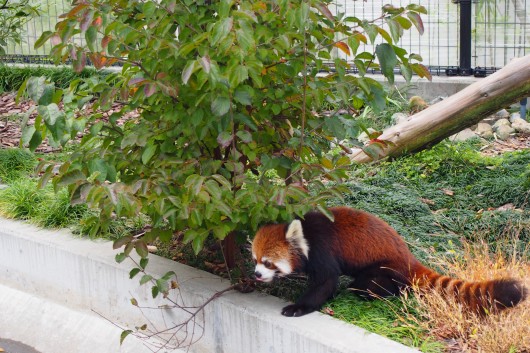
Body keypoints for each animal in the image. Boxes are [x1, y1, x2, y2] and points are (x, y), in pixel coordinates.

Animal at [252, 206, 524, 316]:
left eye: (268, 263)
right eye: (255, 259)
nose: (256, 274)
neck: (305, 238)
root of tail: (407, 256)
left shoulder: (322, 252)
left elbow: (325, 283)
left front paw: (299, 307)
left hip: (383, 268)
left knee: (370, 286)